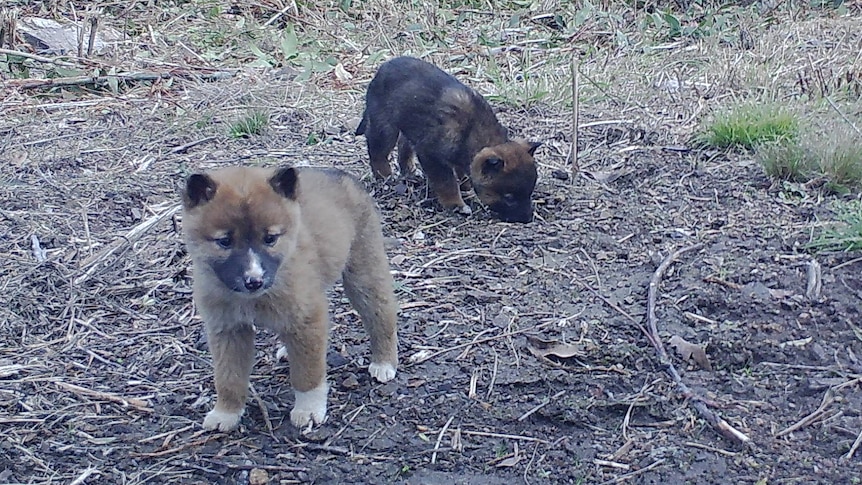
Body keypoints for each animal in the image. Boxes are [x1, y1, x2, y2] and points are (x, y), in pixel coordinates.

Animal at [184, 165, 400, 428]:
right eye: (224, 241)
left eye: (270, 238)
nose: (254, 280)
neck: (253, 298)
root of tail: (340, 174)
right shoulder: (227, 329)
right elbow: (228, 377)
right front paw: (226, 412)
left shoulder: (307, 316)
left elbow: (307, 374)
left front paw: (308, 409)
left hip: (364, 275)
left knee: (382, 316)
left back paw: (384, 362)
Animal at [358, 55, 540, 222]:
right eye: (509, 197)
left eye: (529, 193)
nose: (528, 219)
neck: (475, 131)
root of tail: (382, 69)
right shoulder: (431, 156)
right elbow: (446, 183)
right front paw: (456, 204)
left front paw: (465, 185)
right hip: (385, 126)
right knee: (377, 151)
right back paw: (385, 176)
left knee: (404, 143)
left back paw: (409, 170)